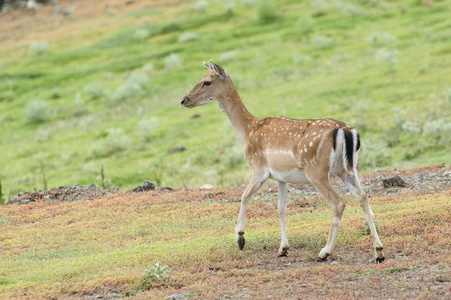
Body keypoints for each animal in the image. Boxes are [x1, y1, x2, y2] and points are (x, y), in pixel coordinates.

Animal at [180, 59, 384, 262]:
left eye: (207, 81)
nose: (184, 100)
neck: (247, 132)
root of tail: (346, 131)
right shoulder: (281, 178)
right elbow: (281, 208)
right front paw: (283, 248)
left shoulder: (258, 168)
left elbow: (245, 196)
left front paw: (240, 238)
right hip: (350, 168)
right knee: (363, 197)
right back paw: (379, 251)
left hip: (317, 170)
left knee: (338, 203)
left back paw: (324, 252)